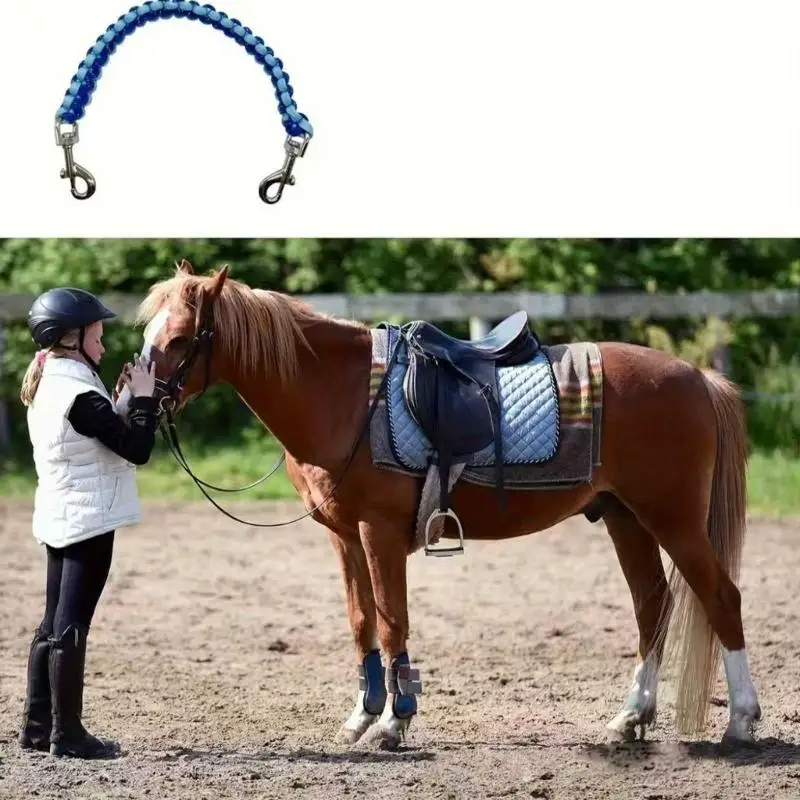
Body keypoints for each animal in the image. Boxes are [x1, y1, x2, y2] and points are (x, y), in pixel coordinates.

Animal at [126, 260, 762, 751]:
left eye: (180, 339)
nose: (133, 407)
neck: (342, 395)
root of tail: (699, 377)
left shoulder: (378, 533)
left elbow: (392, 621)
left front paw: (394, 722)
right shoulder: (343, 536)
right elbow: (362, 622)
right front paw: (363, 716)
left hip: (673, 519)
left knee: (721, 599)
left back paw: (742, 723)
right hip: (625, 517)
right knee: (653, 607)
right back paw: (630, 718)